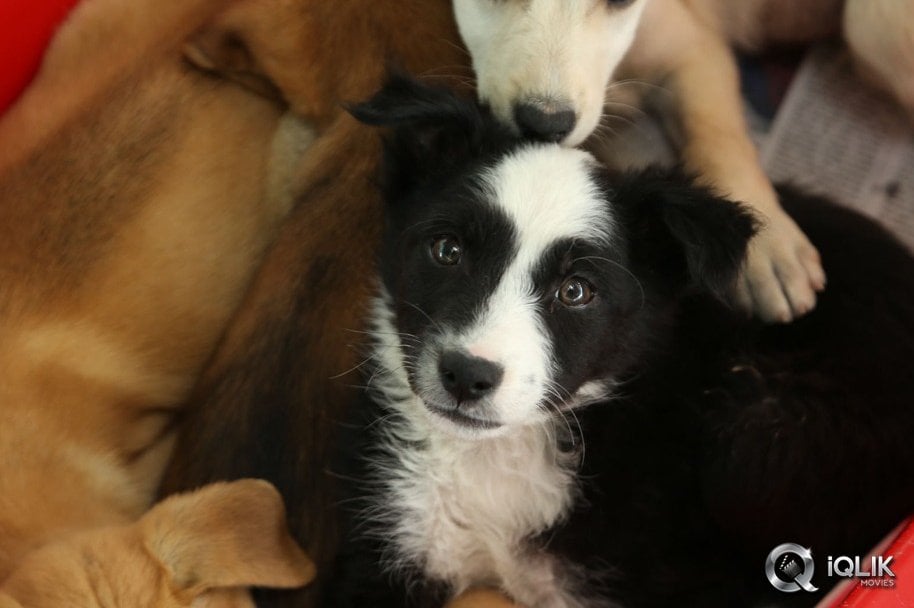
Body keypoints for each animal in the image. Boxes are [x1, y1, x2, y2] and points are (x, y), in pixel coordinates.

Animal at [328, 77, 912, 608]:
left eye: (576, 291)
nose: (467, 376)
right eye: (447, 250)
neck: (499, 455)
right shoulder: (396, 534)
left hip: (757, 433)